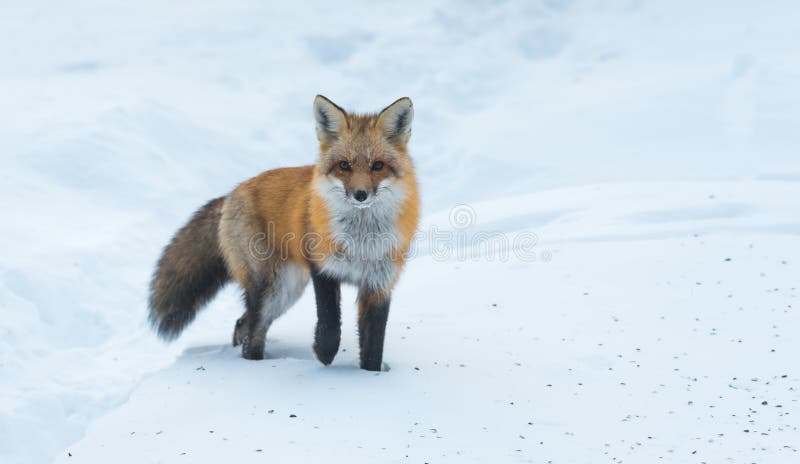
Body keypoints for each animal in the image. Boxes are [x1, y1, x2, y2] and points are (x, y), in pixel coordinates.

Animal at [147, 96, 418, 372]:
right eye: (344, 165)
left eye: (378, 166)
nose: (360, 195)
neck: (361, 242)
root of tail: (232, 193)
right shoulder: (322, 268)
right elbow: (330, 322)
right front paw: (324, 353)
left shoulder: (379, 284)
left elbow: (373, 347)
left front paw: (371, 378)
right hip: (275, 288)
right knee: (253, 331)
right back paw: (254, 367)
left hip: (287, 291)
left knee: (242, 324)